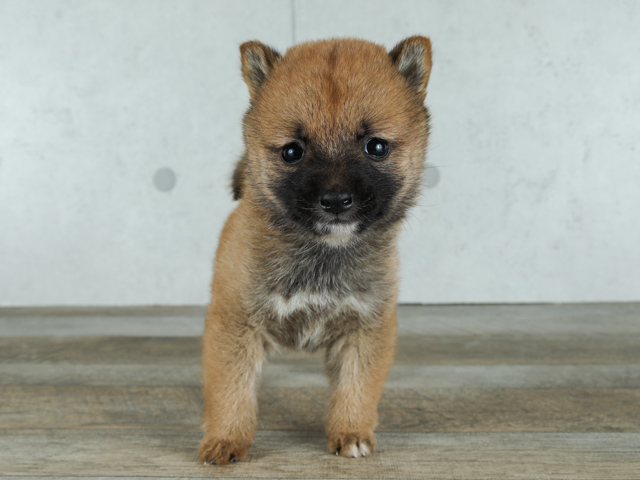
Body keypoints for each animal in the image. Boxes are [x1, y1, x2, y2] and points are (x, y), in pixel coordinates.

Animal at [198, 35, 432, 464]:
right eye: (292, 151)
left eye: (376, 146)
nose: (336, 200)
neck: (322, 254)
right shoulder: (236, 325)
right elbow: (232, 391)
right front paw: (225, 440)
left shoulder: (366, 328)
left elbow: (357, 389)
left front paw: (351, 432)